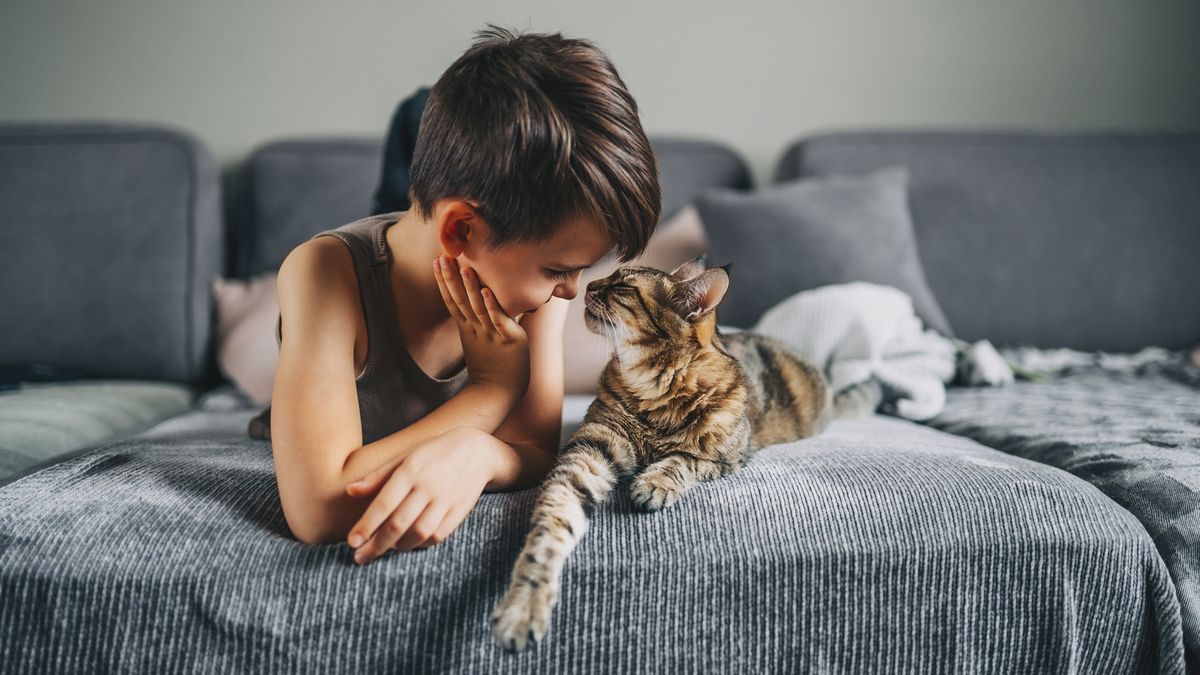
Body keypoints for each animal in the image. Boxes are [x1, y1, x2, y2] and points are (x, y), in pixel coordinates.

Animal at [487, 253, 873, 648]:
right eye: (610, 275)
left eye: (623, 286)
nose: (589, 285)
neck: (653, 387)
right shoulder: (593, 447)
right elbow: (552, 524)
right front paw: (524, 602)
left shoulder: (725, 457)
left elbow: (683, 460)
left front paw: (654, 483)